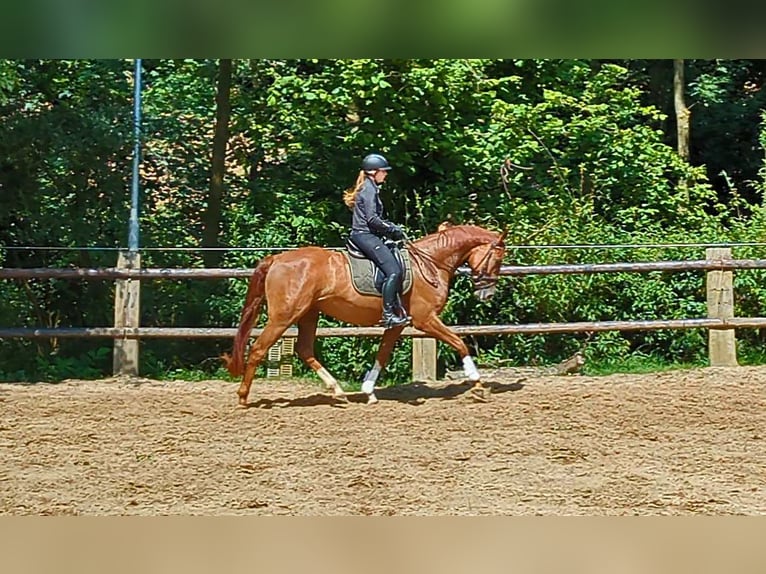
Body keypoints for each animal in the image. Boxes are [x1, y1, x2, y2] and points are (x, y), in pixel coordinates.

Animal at [222, 223, 510, 408]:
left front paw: (368, 391)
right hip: (284, 317)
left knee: (304, 349)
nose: (487, 294)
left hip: (308, 314)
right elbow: (459, 342)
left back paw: (338, 391)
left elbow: (382, 353)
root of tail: (277, 259)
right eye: (497, 259)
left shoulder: (398, 323)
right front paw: (477, 385)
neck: (429, 263)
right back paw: (243, 397)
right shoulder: (425, 319)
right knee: (258, 349)